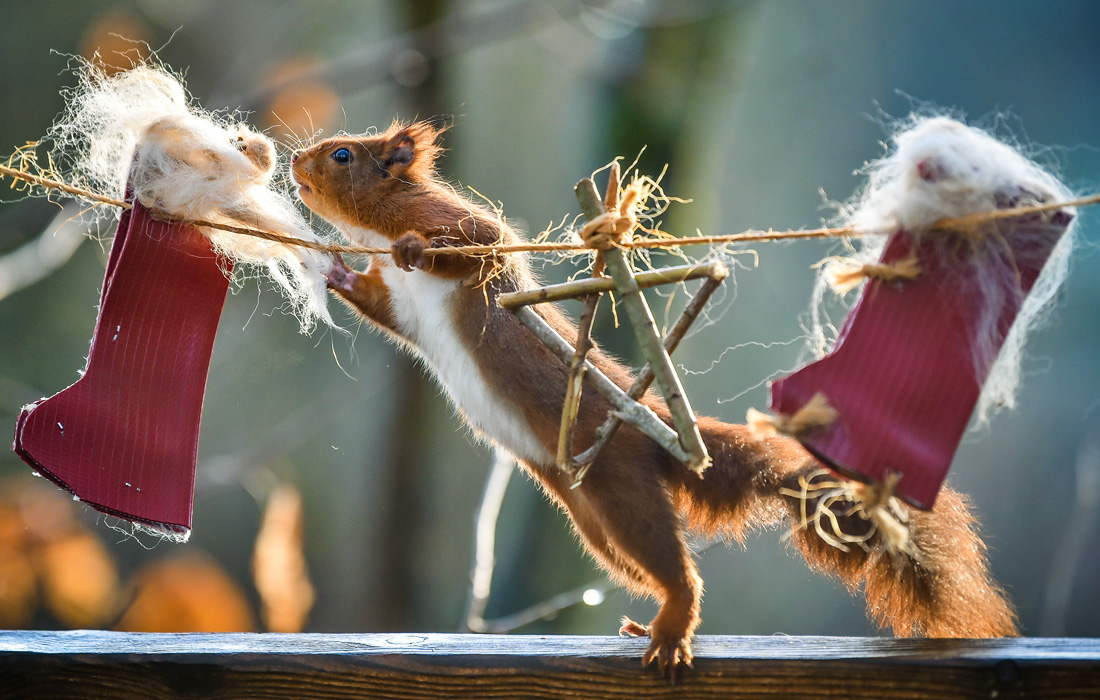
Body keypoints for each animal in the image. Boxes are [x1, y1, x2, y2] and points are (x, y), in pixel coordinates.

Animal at [290, 118, 1012, 673]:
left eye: (344, 154)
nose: (296, 161)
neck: (380, 234)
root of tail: (652, 421)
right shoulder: (402, 308)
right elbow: (380, 305)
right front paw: (334, 271)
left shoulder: (462, 231)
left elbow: (475, 244)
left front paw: (415, 247)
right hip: (593, 518)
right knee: (643, 567)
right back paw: (652, 622)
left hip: (624, 488)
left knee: (678, 570)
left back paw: (671, 629)